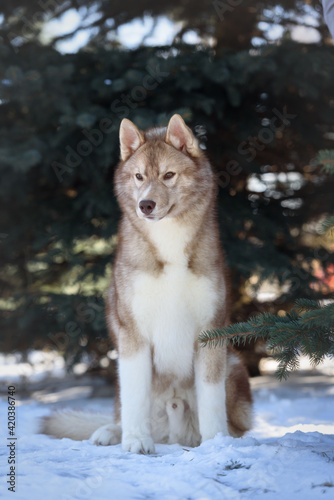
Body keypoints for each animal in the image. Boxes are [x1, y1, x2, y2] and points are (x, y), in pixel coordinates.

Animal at [42, 114, 250, 454]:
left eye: (169, 175)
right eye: (139, 176)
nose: (146, 205)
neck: (170, 245)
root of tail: (174, 434)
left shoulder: (211, 332)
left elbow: (211, 399)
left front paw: (215, 443)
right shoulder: (133, 333)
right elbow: (135, 398)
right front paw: (137, 440)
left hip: (234, 365)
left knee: (235, 423)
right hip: (120, 375)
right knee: (121, 409)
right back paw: (111, 431)